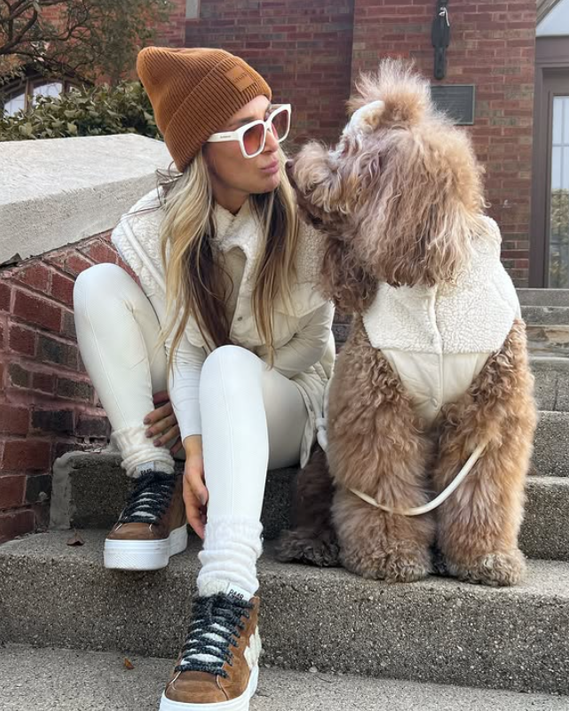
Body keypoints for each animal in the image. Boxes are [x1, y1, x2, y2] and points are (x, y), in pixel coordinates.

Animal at [278, 61, 536, 588]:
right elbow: (385, 485)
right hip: (321, 459)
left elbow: (485, 488)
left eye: (347, 149)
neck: (431, 284)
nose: (293, 167)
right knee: (314, 505)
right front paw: (389, 554)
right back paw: (312, 544)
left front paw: (485, 557)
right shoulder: (377, 405)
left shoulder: (492, 417)